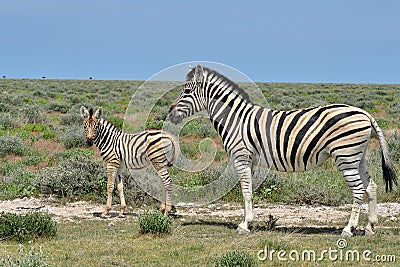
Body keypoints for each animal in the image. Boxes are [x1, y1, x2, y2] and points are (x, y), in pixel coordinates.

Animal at [167, 65, 396, 239]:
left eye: (186, 92)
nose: (170, 115)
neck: (234, 119)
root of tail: (364, 112)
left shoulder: (241, 156)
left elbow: (245, 191)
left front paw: (244, 225)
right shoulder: (250, 160)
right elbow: (249, 191)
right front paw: (248, 222)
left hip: (345, 155)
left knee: (358, 190)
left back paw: (349, 229)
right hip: (357, 157)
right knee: (371, 186)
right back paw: (370, 227)